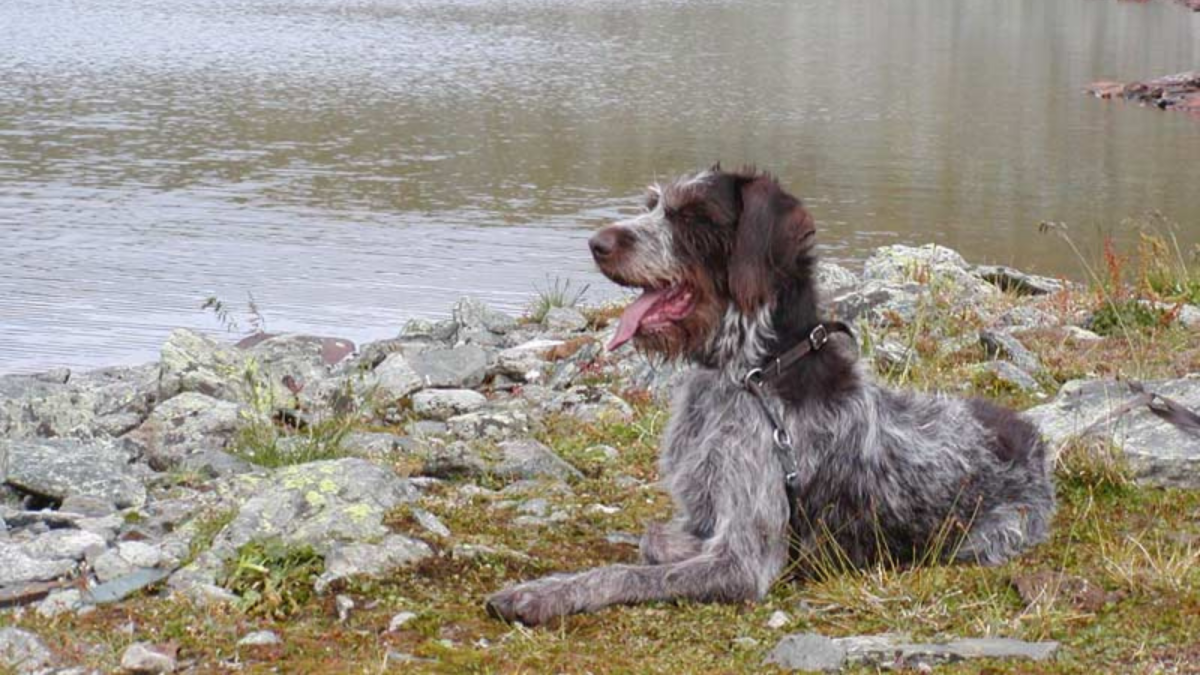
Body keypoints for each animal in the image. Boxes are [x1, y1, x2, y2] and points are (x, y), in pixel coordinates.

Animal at [482, 165, 1056, 624]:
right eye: (653, 207)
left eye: (693, 216)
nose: (597, 243)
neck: (749, 375)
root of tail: (1033, 438)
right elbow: (654, 536)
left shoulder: (742, 564)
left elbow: (626, 570)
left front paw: (544, 594)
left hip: (993, 535)